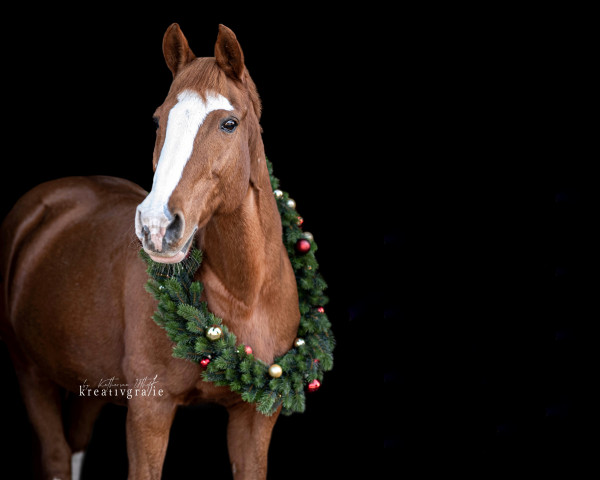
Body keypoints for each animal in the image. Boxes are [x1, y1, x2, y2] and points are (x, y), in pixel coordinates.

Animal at [0, 24, 300, 478]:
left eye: (229, 123)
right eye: (159, 119)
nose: (157, 226)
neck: (244, 296)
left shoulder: (256, 417)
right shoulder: (149, 409)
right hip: (31, 374)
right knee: (55, 456)